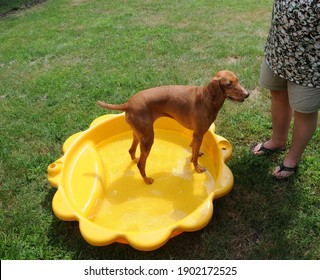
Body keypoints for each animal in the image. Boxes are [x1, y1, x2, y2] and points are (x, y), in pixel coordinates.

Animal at [98, 70, 250, 184]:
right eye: (229, 84)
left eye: (237, 80)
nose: (247, 94)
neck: (207, 97)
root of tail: (128, 104)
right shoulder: (198, 133)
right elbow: (194, 156)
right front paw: (197, 167)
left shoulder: (196, 134)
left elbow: (194, 149)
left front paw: (196, 154)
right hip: (148, 138)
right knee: (141, 164)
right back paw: (146, 180)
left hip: (139, 134)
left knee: (131, 151)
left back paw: (135, 160)